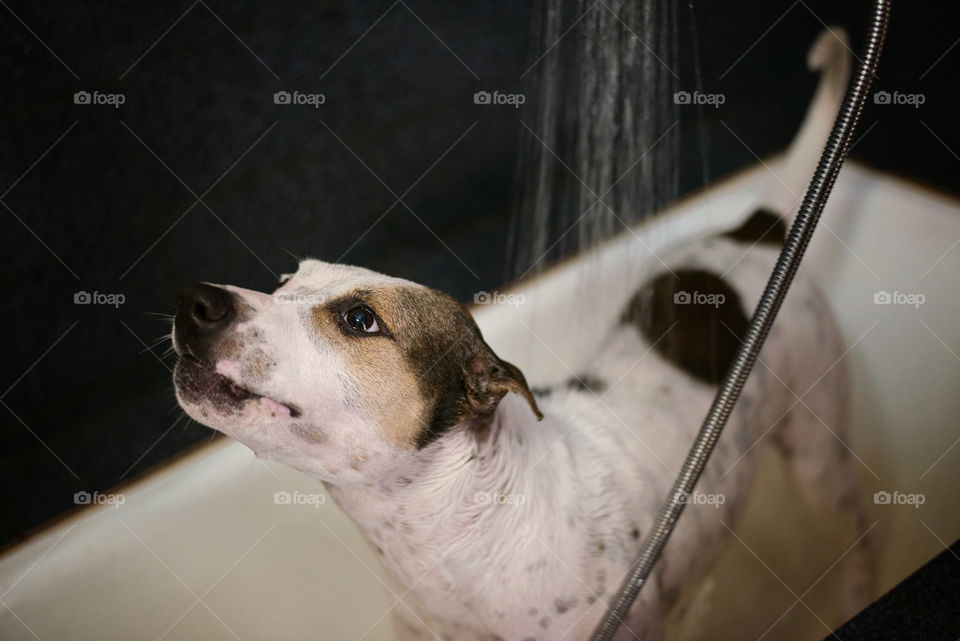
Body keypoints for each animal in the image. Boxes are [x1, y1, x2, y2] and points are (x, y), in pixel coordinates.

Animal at [172, 28, 872, 640]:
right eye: (285, 280)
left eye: (359, 320)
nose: (193, 300)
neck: (454, 542)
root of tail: (758, 230)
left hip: (820, 455)